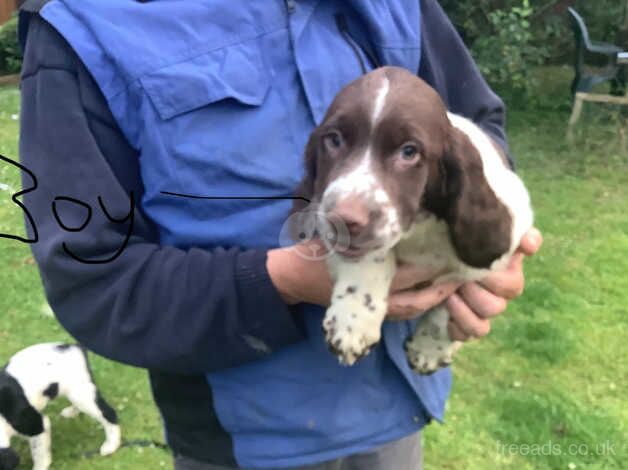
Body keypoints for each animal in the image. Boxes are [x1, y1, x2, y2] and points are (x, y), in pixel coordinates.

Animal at [0, 342, 121, 470]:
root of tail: (75, 347)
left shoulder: (35, 424)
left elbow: (39, 453)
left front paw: (40, 466)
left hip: (80, 393)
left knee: (108, 413)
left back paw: (111, 445)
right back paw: (72, 411)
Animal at [292, 66, 532, 374]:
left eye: (409, 151)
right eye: (334, 139)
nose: (343, 220)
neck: (419, 227)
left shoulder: (499, 250)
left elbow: (454, 297)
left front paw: (428, 349)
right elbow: (368, 258)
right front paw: (352, 322)